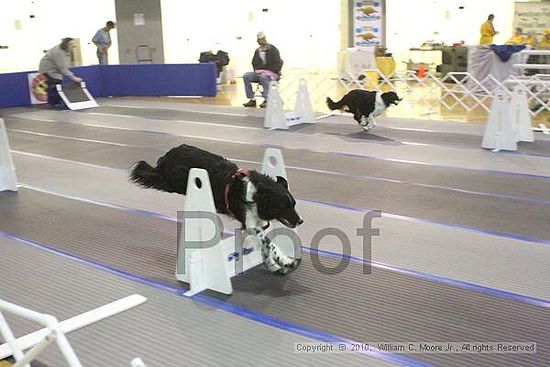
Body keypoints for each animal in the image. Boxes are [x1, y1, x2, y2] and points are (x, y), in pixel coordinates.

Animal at [131, 144, 304, 276]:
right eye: (284, 206)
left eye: (294, 204)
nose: (301, 221)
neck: (257, 193)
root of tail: (167, 156)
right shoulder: (249, 223)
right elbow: (269, 243)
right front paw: (285, 260)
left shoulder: (255, 223)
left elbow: (266, 245)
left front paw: (274, 264)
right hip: (171, 182)